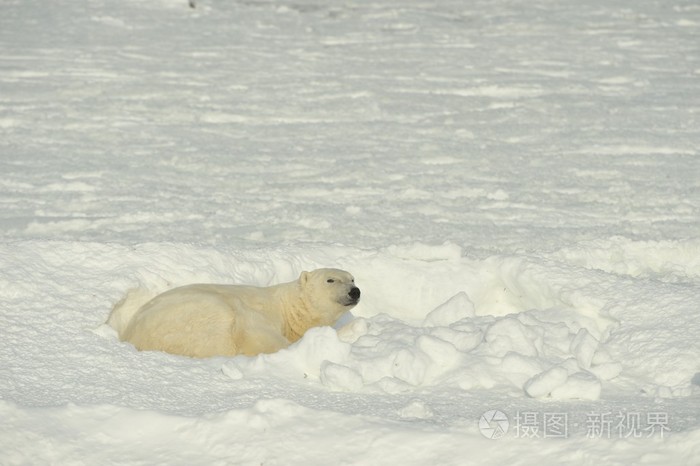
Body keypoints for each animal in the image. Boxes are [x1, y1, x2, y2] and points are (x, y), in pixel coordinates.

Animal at [109, 268, 364, 358]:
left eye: (352, 277)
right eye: (331, 279)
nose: (355, 291)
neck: (288, 309)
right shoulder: (261, 314)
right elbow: (258, 333)